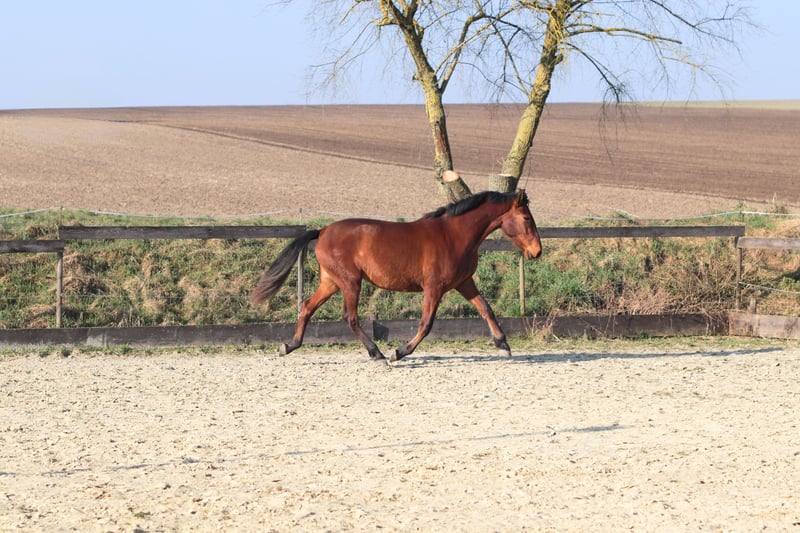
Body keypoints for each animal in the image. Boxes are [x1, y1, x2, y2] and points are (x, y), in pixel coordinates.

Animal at [251, 189, 542, 363]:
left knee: (307, 307)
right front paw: (399, 352)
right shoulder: (434, 287)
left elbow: (486, 310)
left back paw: (289, 345)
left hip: (331, 282)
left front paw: (503, 345)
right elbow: (426, 324)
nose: (537, 252)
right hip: (350, 282)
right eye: (527, 218)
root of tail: (321, 231)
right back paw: (377, 353)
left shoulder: (464, 283)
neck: (454, 235)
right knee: (350, 317)